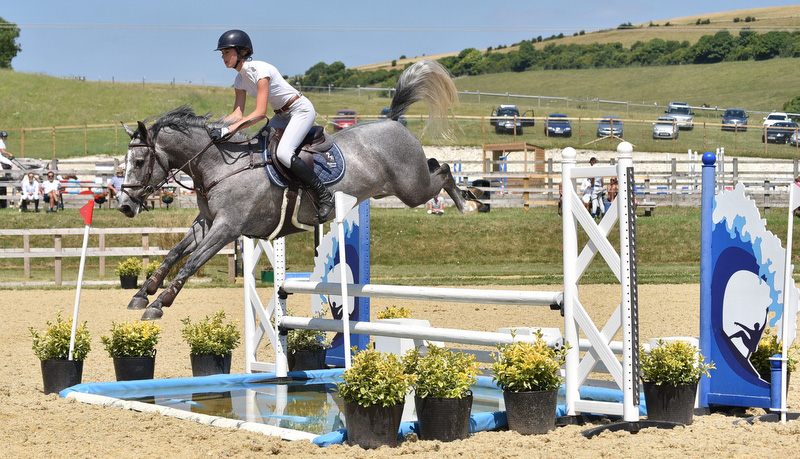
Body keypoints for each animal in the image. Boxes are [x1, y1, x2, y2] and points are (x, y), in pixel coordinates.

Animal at [119, 60, 482, 320]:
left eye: (138, 161)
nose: (124, 205)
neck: (219, 167)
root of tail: (392, 120)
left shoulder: (227, 227)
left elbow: (192, 262)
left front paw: (159, 303)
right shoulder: (206, 223)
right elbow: (174, 253)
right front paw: (142, 293)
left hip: (412, 189)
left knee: (443, 170)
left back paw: (468, 204)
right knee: (435, 163)